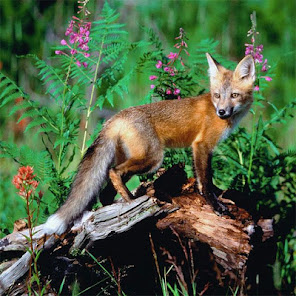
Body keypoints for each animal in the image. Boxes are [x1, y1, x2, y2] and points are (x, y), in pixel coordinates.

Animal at [43, 52, 254, 234]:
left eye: (234, 95)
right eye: (217, 95)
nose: (221, 111)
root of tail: (116, 117)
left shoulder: (200, 149)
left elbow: (203, 179)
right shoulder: (202, 145)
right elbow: (206, 181)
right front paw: (215, 204)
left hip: (135, 158)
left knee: (105, 192)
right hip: (152, 159)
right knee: (113, 172)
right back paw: (131, 203)